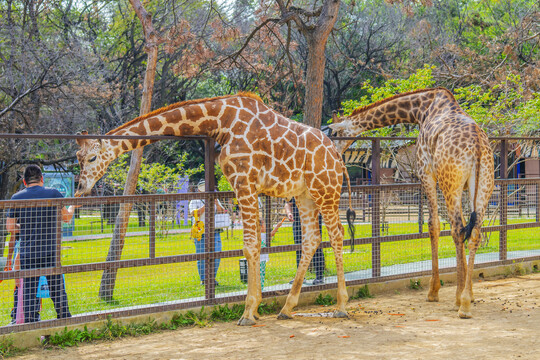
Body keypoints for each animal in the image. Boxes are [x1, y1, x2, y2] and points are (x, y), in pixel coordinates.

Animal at [75, 93, 354, 326]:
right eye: (78, 157)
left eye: (91, 158)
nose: (80, 189)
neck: (221, 119)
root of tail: (337, 156)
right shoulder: (244, 186)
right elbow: (255, 243)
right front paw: (255, 308)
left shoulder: (245, 182)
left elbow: (250, 245)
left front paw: (248, 312)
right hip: (304, 194)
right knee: (312, 239)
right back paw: (286, 308)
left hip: (325, 190)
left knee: (336, 234)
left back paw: (341, 305)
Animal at [330, 87, 494, 318]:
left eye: (335, 133)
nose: (334, 151)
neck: (421, 109)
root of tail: (478, 148)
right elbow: (458, 228)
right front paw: (468, 293)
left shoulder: (426, 172)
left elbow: (433, 225)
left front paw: (434, 291)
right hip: (483, 186)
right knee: (474, 232)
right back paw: (465, 298)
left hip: (450, 183)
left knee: (456, 229)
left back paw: (460, 303)